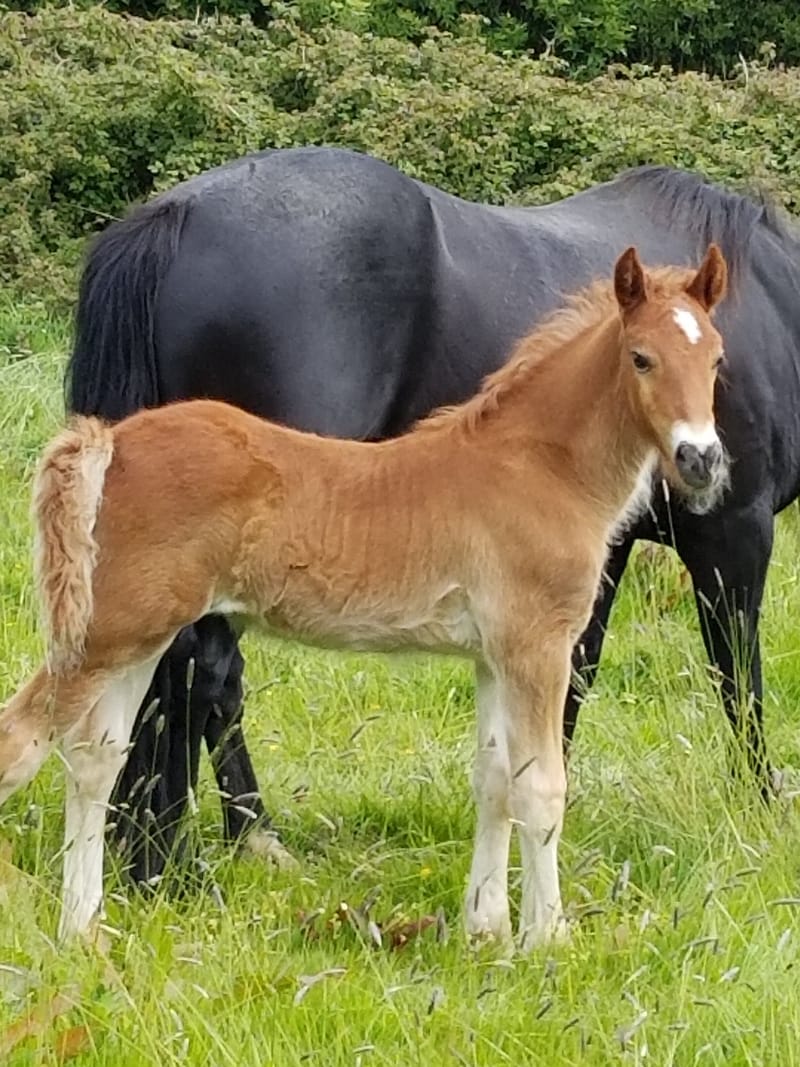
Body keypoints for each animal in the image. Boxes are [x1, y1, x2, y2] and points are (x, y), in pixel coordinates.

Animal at [1, 246, 728, 947]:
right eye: (641, 358)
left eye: (717, 359)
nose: (701, 459)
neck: (539, 466)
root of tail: (111, 439)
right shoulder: (537, 646)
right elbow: (540, 788)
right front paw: (547, 939)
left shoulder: (492, 655)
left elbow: (493, 780)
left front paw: (485, 929)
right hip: (106, 631)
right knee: (21, 741)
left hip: (139, 638)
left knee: (94, 760)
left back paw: (84, 930)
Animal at [67, 147, 800, 884]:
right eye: (647, 359)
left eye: (715, 359)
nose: (703, 459)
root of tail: (176, 216)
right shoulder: (731, 530)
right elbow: (737, 673)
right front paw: (757, 804)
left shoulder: (597, 552)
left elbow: (571, 677)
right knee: (204, 670)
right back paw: (187, 855)